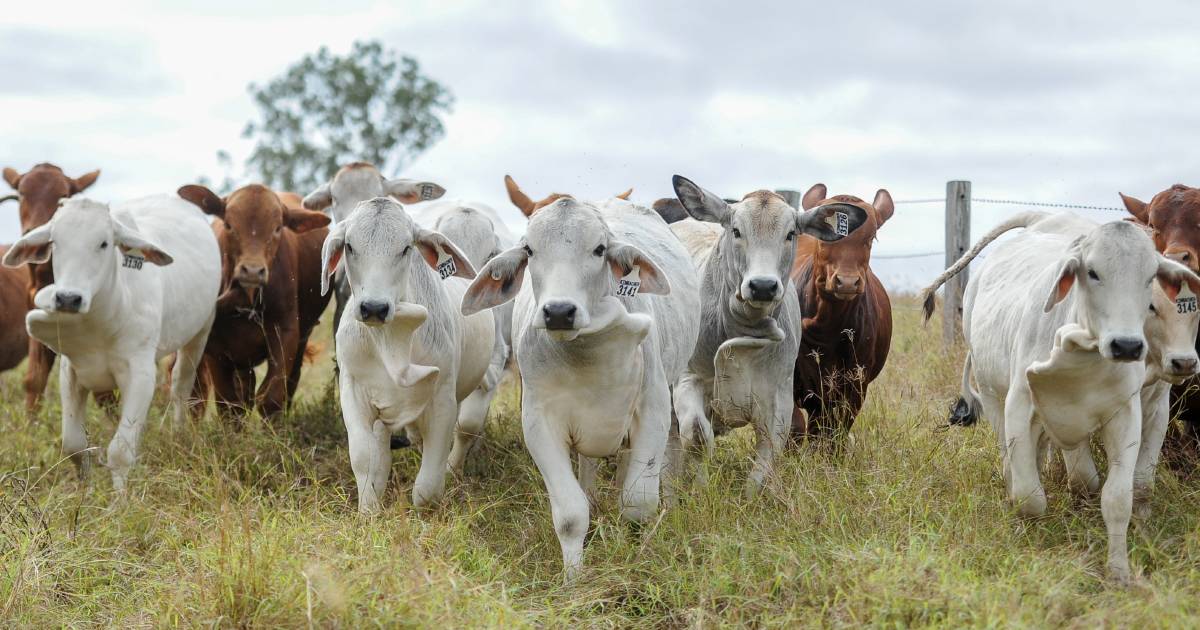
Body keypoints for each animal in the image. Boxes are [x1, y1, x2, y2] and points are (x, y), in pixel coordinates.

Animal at [1, 196, 220, 492]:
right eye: (55, 242)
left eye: (104, 243)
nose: (68, 299)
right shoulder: (70, 373)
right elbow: (74, 446)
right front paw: (86, 491)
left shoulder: (140, 374)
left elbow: (120, 451)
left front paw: (120, 500)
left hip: (200, 332)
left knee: (181, 385)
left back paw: (179, 434)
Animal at [175, 184, 333, 420]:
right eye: (229, 225)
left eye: (277, 228)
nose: (252, 271)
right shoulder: (214, 347)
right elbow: (229, 405)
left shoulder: (286, 334)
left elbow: (272, 397)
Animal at [787, 181, 892, 436]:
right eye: (824, 237)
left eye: (871, 237)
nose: (846, 282)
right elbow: (795, 426)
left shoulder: (855, 384)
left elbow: (837, 431)